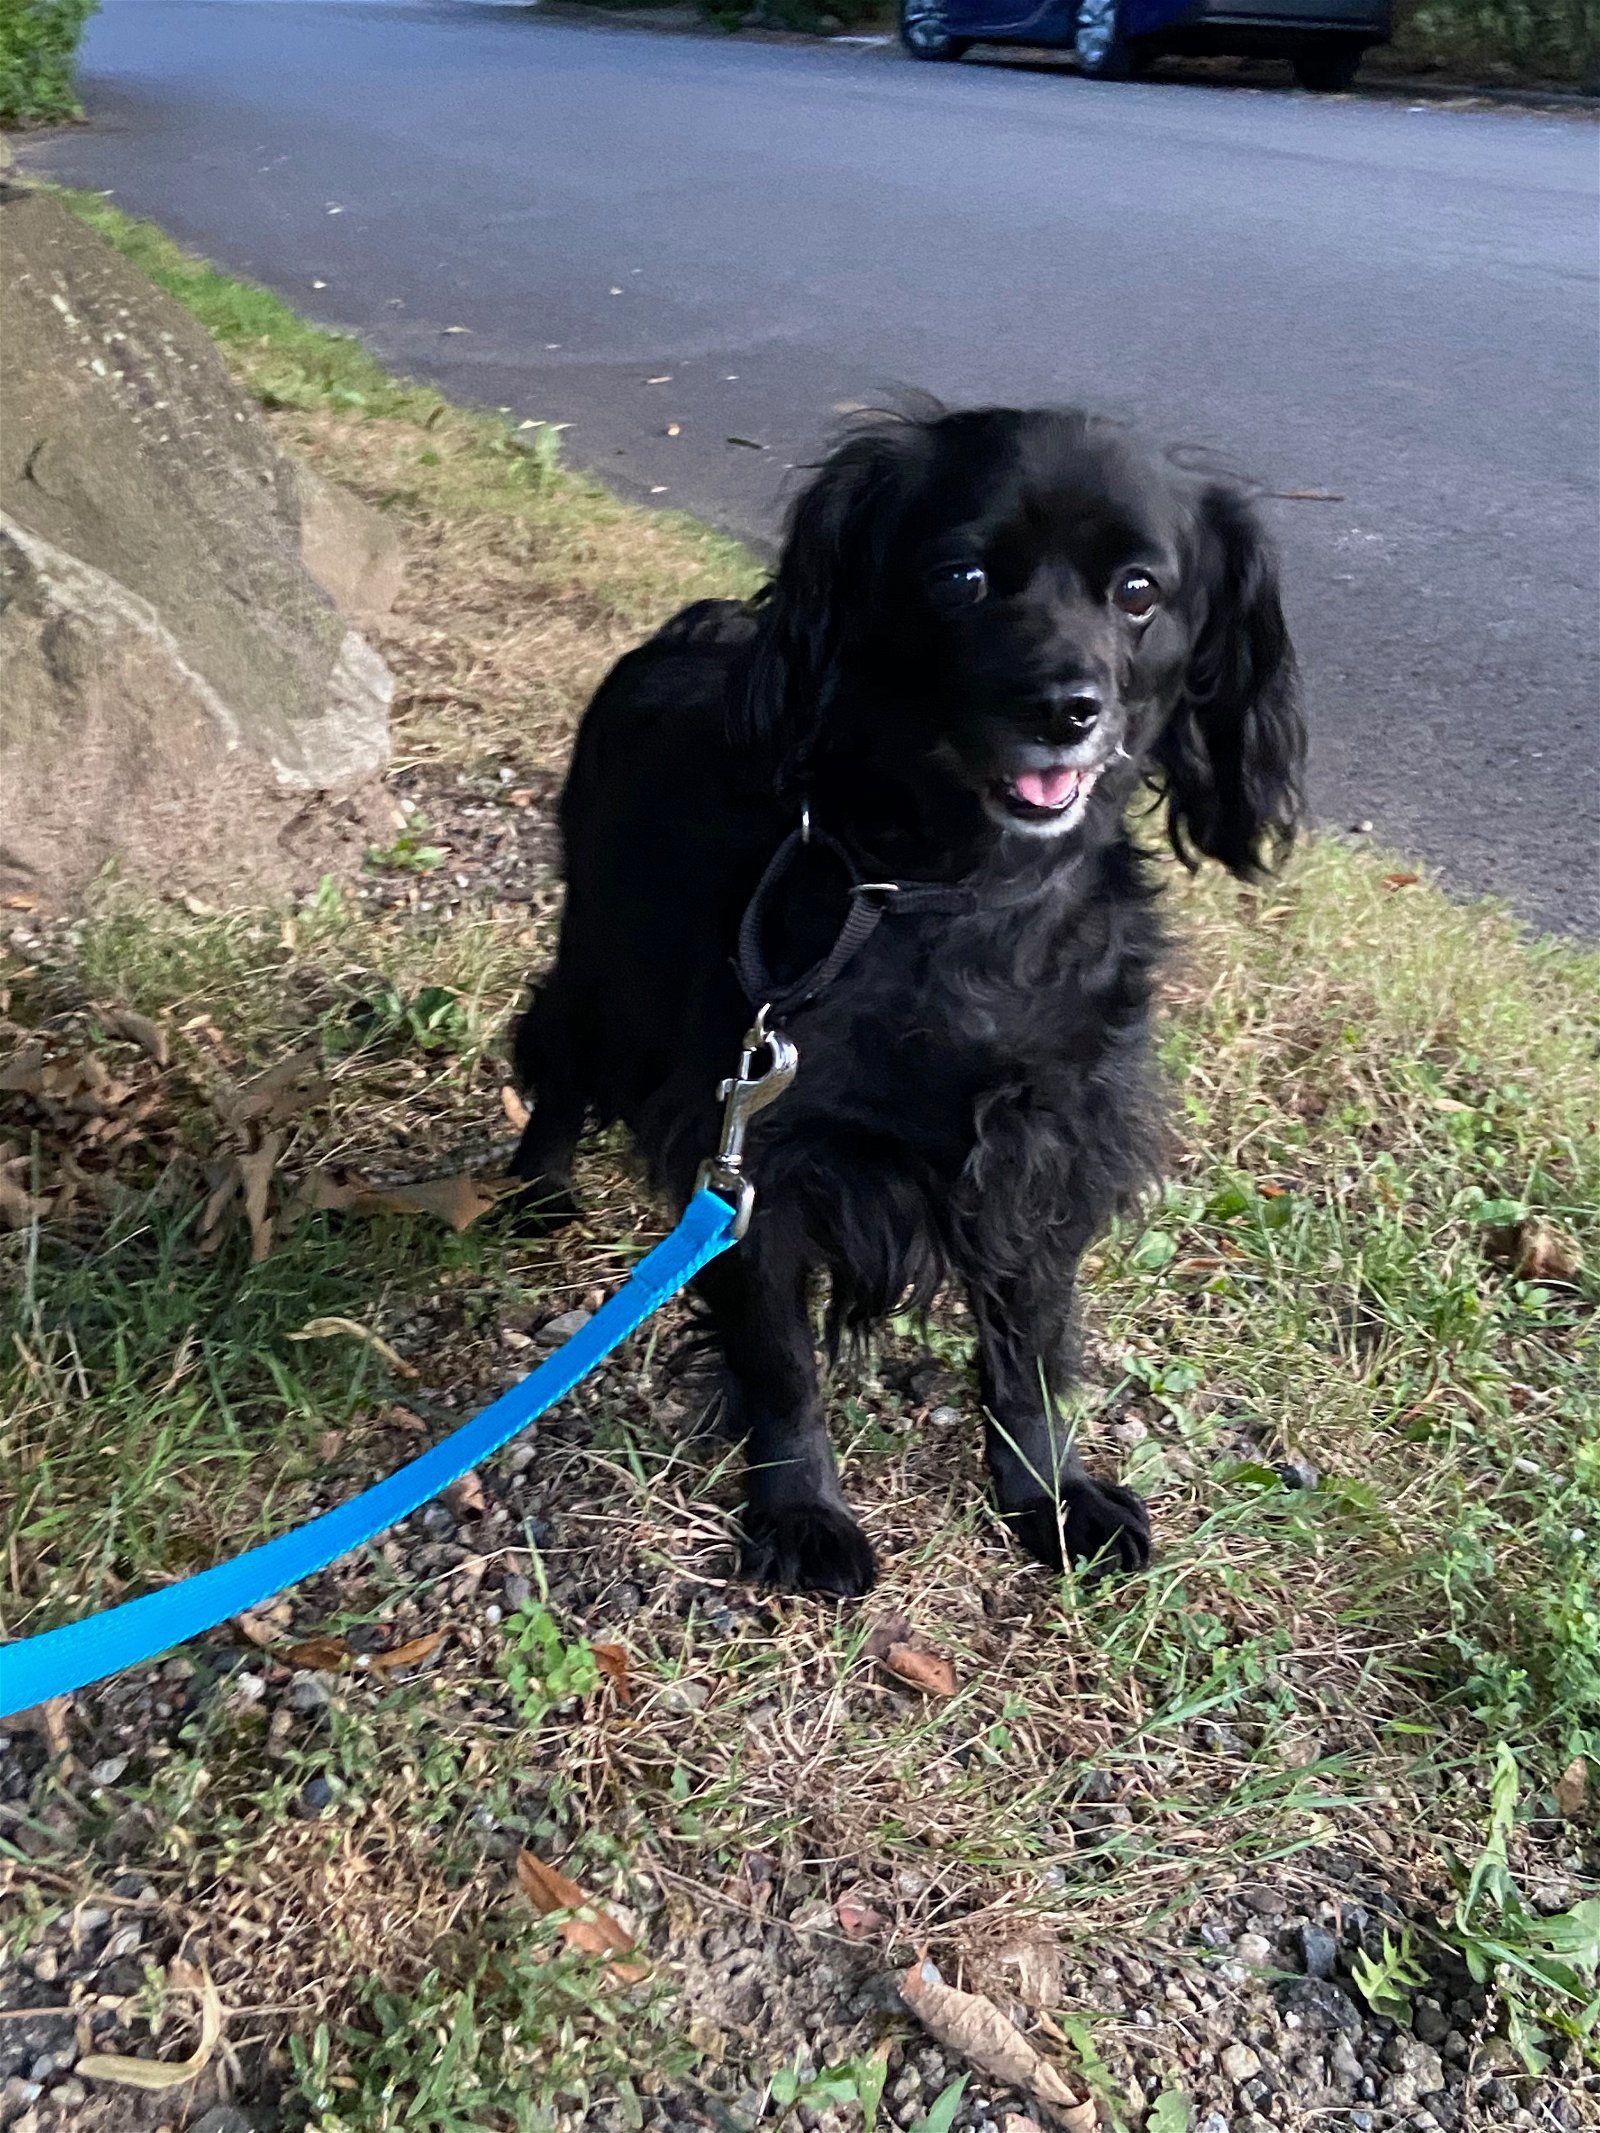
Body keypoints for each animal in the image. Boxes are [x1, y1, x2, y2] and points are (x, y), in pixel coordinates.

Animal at [509, 407, 1305, 1595]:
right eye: (959, 577)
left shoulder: (1040, 1163)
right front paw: (801, 1511)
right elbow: (782, 1362)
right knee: (557, 1059)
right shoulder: (759, 1152)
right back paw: (534, 1186)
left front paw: (1048, 1497)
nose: (1064, 708)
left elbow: (1030, 1356)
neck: (963, 902)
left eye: (1138, 590)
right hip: (602, 972)